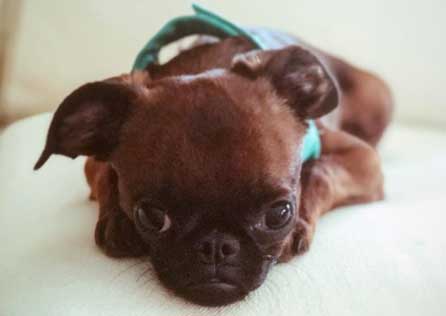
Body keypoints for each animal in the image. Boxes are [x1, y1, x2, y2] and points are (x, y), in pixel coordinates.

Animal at [34, 33, 390, 304]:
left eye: (280, 214)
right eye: (151, 216)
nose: (216, 246)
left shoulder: (363, 159)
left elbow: (319, 173)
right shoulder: (95, 161)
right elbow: (107, 176)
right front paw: (118, 221)